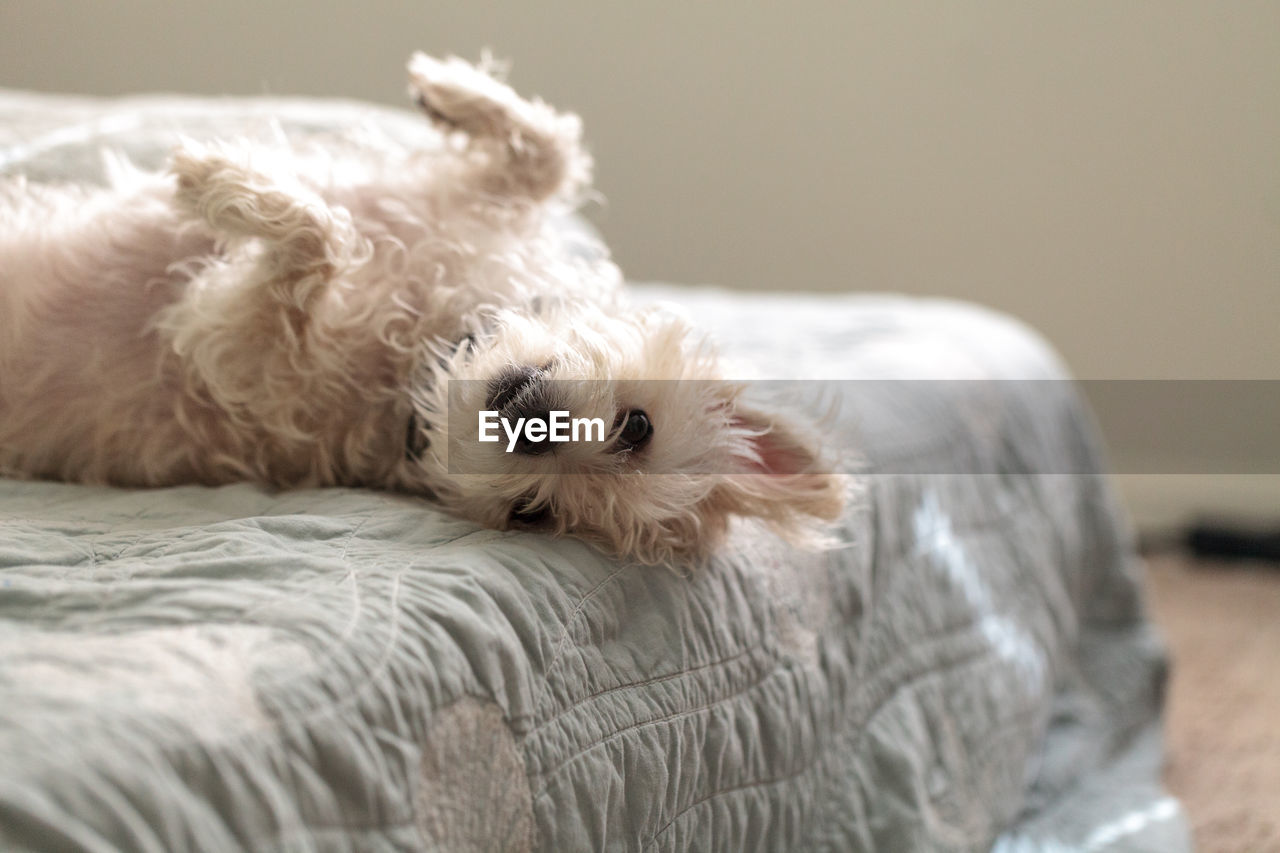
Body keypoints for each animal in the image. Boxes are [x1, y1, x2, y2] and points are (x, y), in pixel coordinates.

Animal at [0, 51, 844, 558]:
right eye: (639, 427)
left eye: (533, 515)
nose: (536, 435)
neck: (432, 344)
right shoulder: (468, 206)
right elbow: (551, 150)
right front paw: (450, 92)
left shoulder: (236, 346)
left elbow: (317, 244)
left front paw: (216, 180)